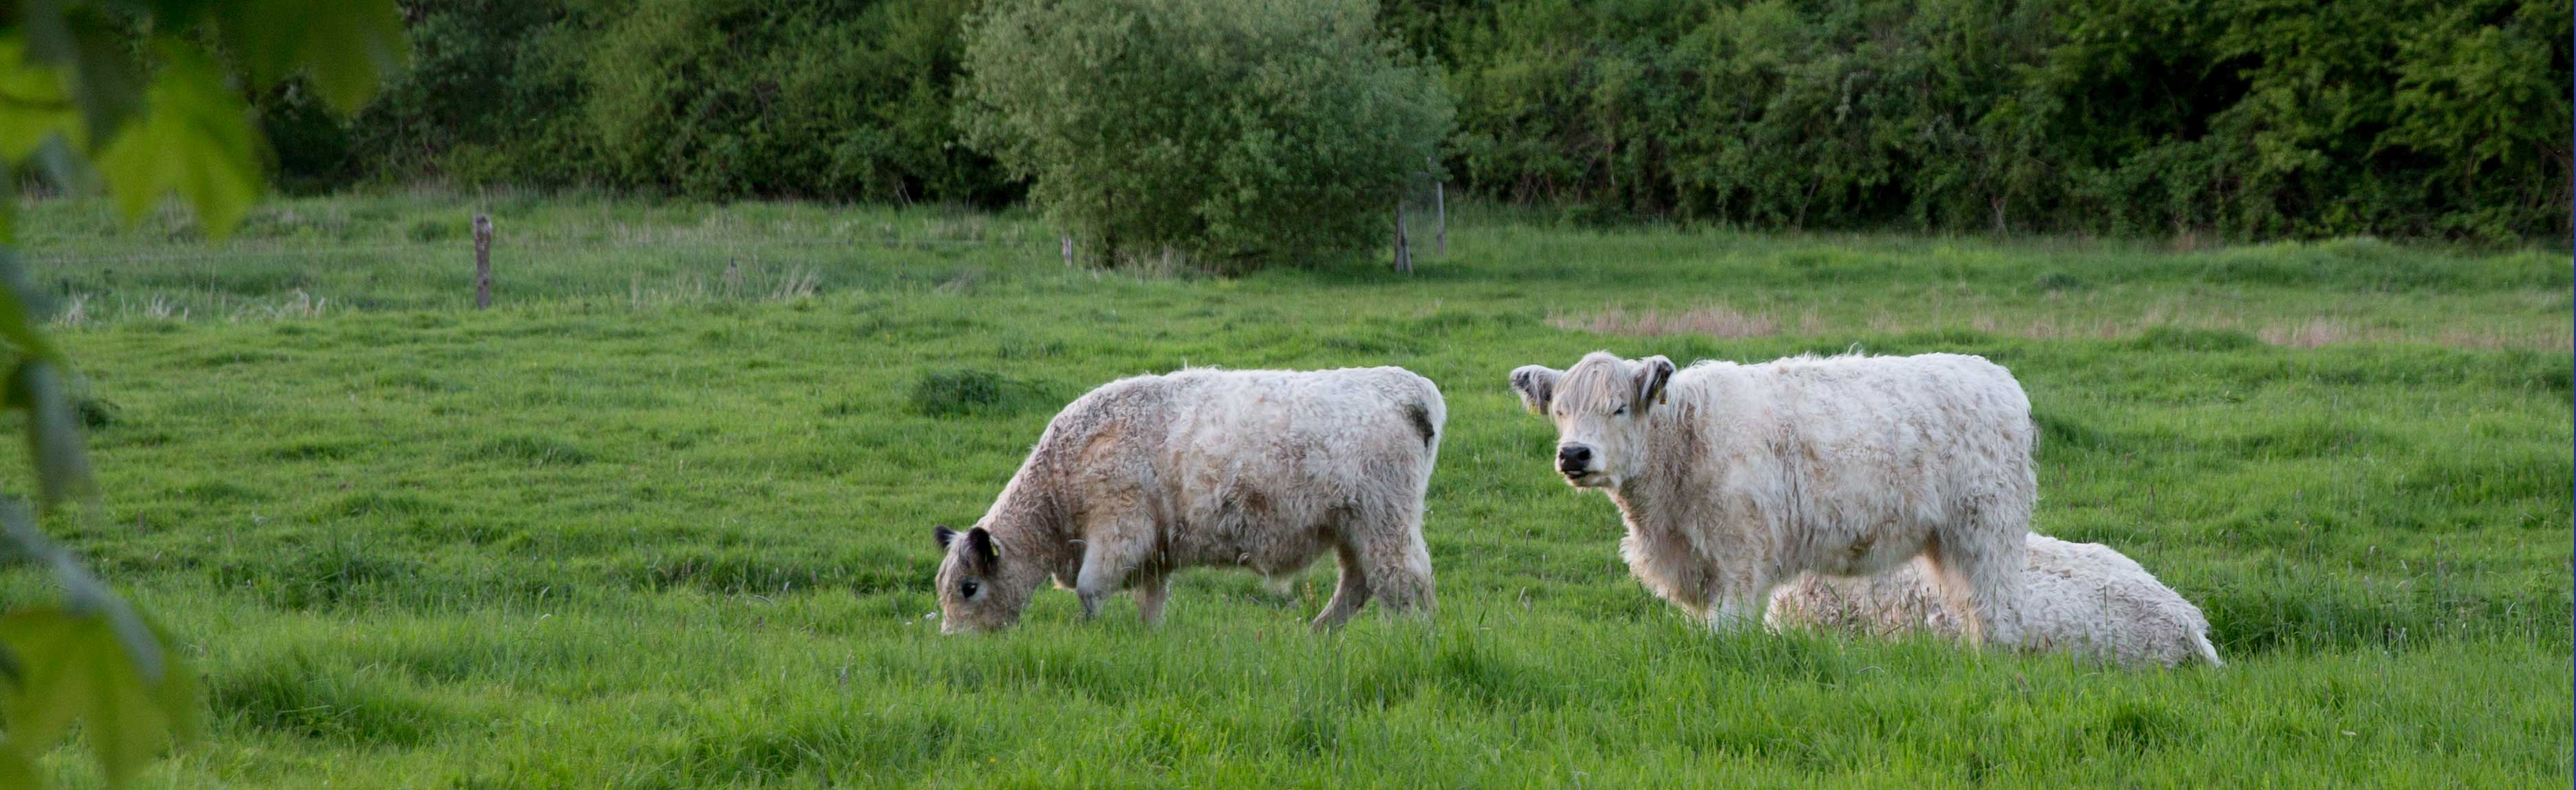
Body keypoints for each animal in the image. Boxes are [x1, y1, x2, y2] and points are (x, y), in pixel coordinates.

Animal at [932, 368, 1452, 636]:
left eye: (969, 588)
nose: (954, 640)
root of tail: (1407, 386)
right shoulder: (1154, 550)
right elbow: (1151, 600)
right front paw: (1148, 637)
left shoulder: (1120, 529)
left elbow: (1089, 590)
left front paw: (1091, 633)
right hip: (1353, 528)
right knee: (1358, 586)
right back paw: (1317, 634)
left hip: (1384, 523)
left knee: (1404, 584)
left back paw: (1407, 640)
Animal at [1504, 352, 2029, 643]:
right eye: (1560, 410)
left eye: (1617, 408)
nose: (1574, 454)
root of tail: (1998, 378)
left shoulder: (1740, 556)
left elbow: (1727, 630)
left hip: (1987, 535)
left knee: (1997, 614)